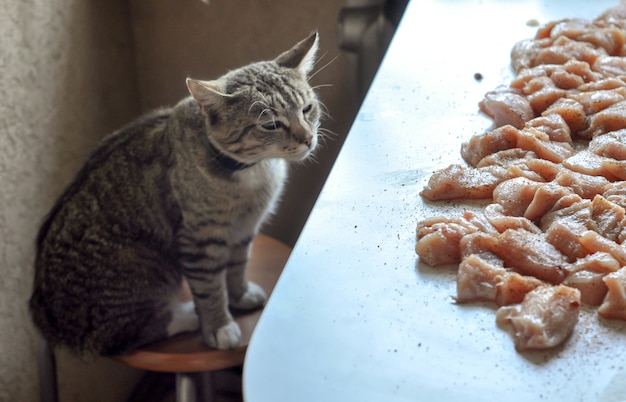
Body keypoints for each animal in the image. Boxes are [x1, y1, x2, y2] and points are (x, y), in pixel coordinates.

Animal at [28, 31, 322, 354]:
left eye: (307, 109)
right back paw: (186, 317)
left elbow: (237, 266)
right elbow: (210, 288)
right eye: (271, 124)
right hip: (145, 268)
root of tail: (43, 317)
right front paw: (218, 325)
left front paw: (240, 294)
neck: (252, 172)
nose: (308, 138)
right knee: (126, 335)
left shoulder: (245, 230)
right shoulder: (199, 241)